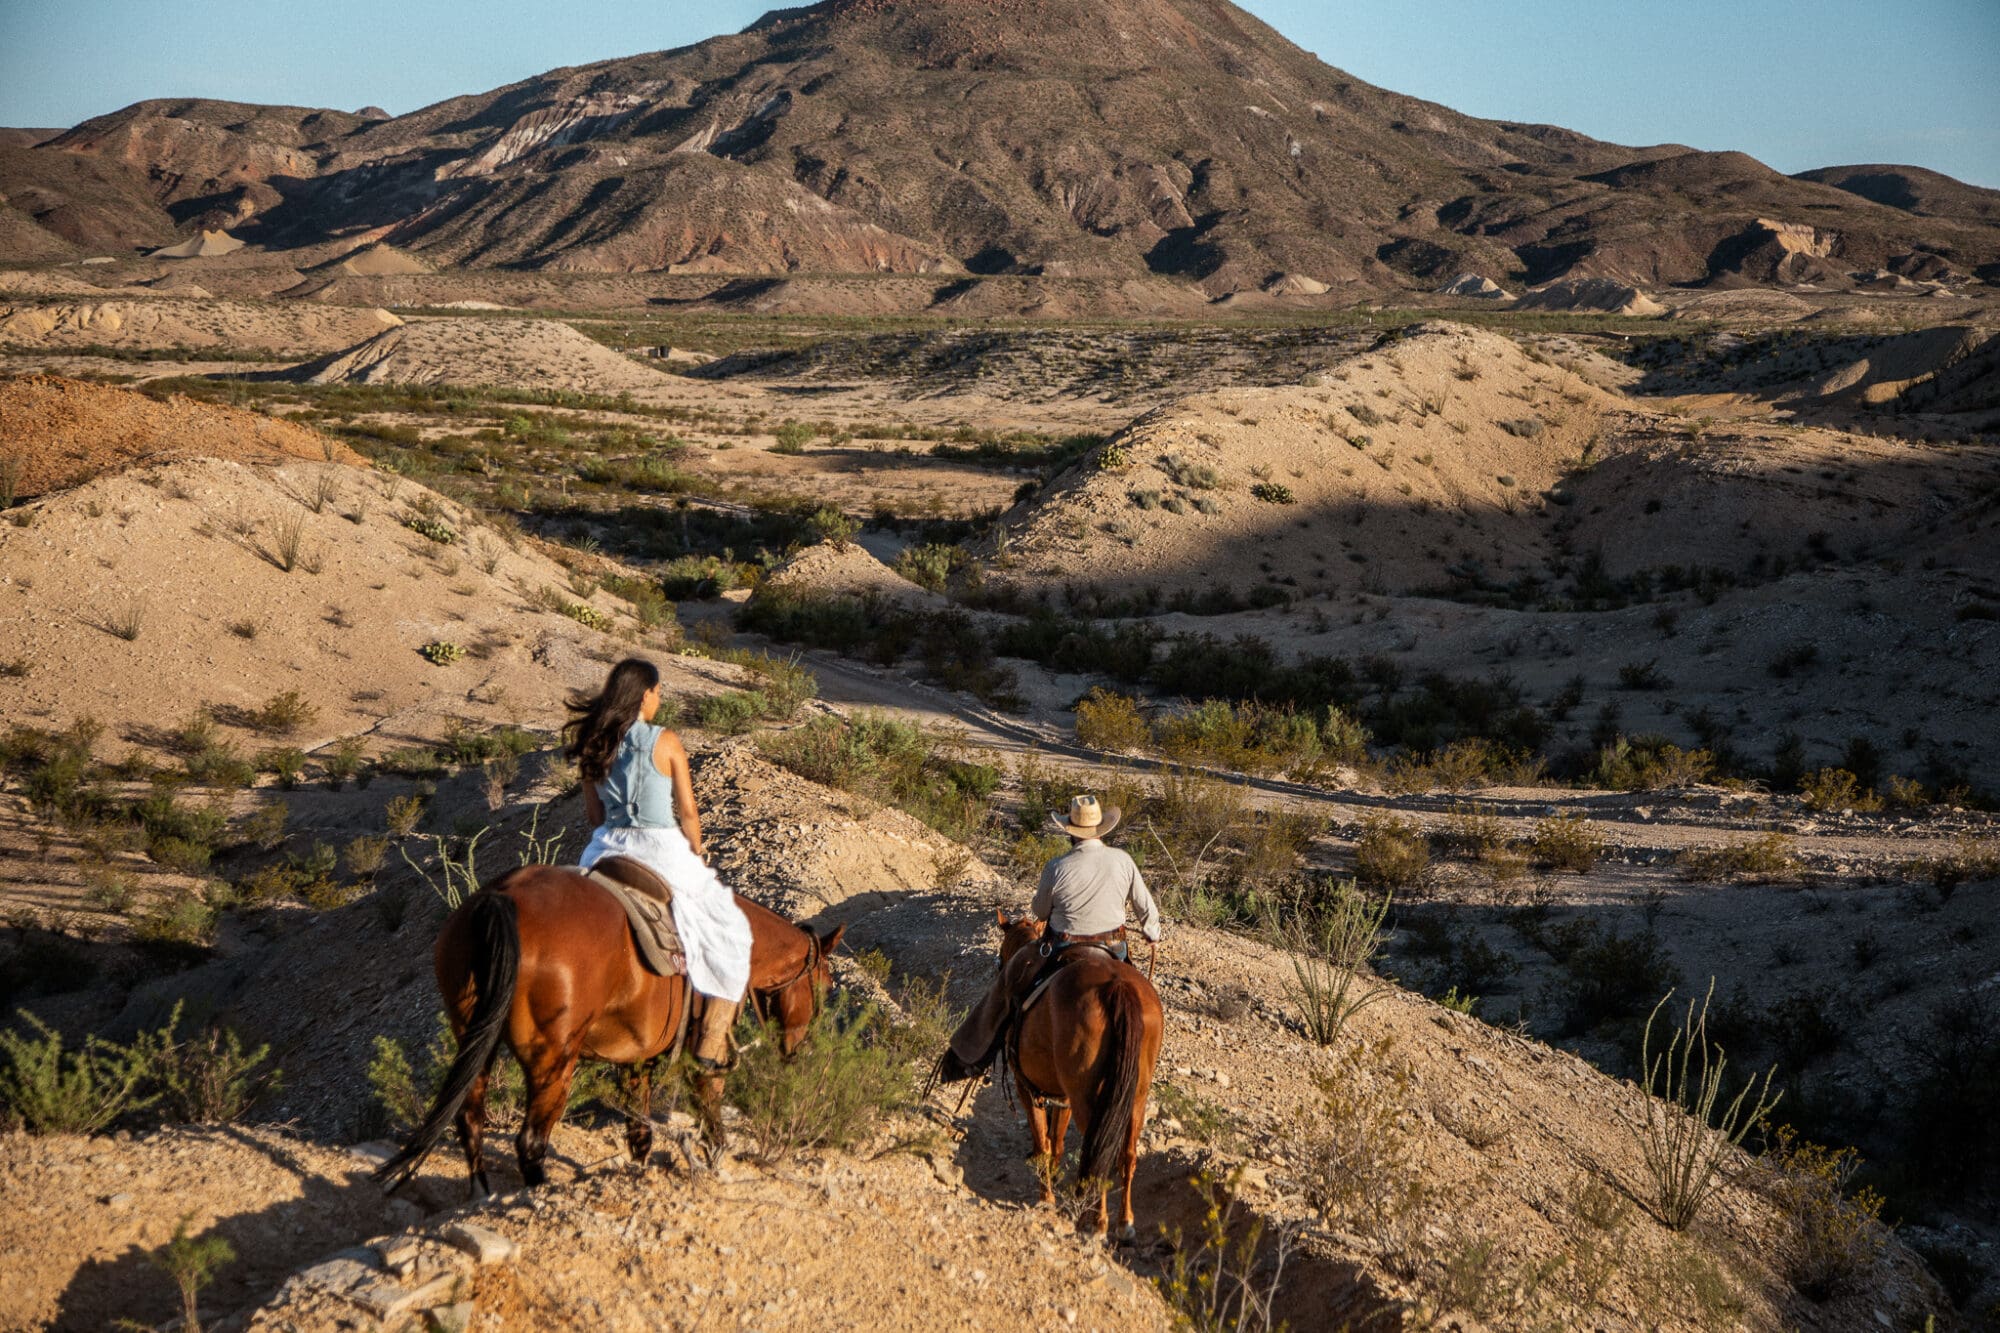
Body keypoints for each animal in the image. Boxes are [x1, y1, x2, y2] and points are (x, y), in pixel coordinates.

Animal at [378, 860, 840, 1192]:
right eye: (824, 984)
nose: (800, 1049)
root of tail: (501, 897)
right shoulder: (704, 1051)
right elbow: (708, 1102)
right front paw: (714, 1160)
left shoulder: (636, 1062)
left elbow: (640, 1133)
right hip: (554, 1063)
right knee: (530, 1142)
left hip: (474, 1038)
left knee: (470, 1120)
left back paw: (482, 1198)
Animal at [996, 904, 1168, 1232]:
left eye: (1001, 956)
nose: (999, 969)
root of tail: (1117, 986)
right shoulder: (1062, 1096)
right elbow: (1057, 1143)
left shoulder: (1028, 1087)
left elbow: (1043, 1142)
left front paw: (1046, 1198)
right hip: (1136, 1094)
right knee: (1127, 1153)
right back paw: (1124, 1222)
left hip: (1086, 1095)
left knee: (1098, 1150)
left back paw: (1097, 1220)